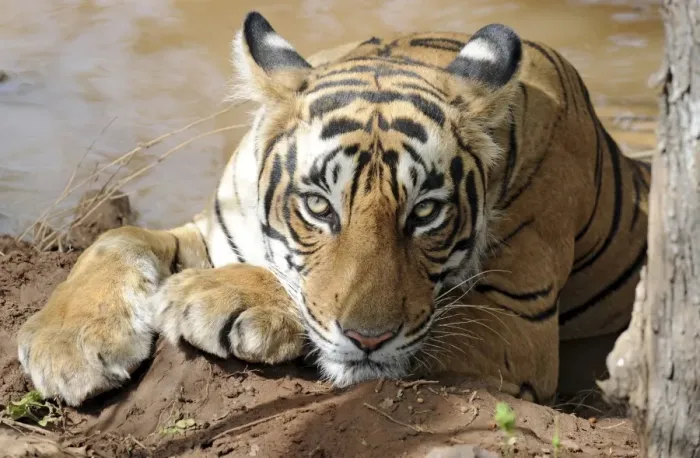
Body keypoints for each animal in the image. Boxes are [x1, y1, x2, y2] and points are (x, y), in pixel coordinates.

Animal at [16, 11, 650, 407]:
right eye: (319, 207)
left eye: (425, 214)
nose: (369, 339)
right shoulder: (217, 229)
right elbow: (118, 238)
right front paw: (70, 343)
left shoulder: (516, 323)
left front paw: (217, 297)